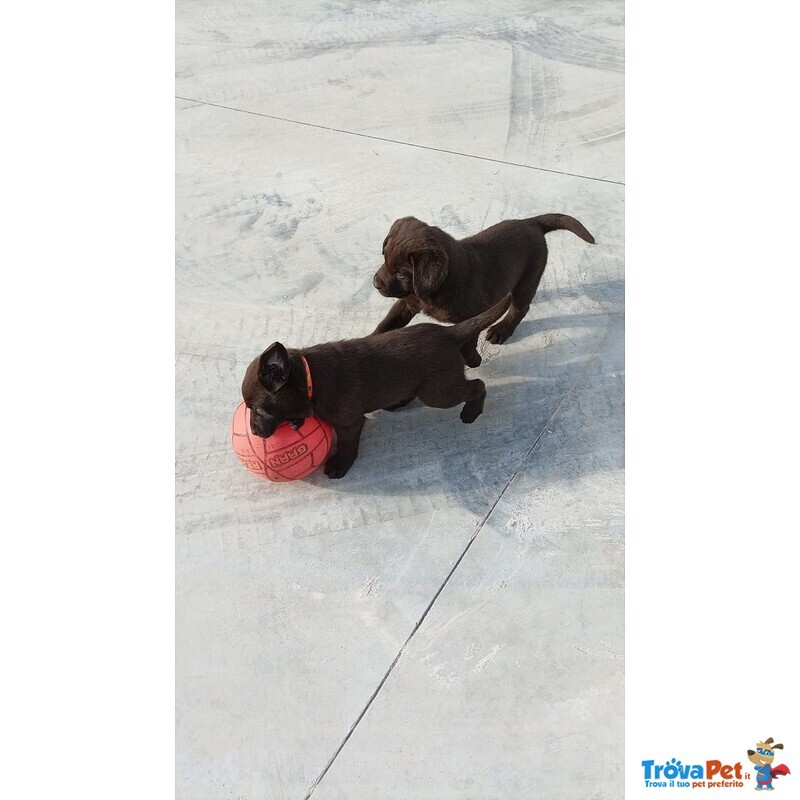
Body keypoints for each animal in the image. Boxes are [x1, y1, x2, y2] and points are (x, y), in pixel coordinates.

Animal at [241, 296, 510, 478]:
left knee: (477, 385)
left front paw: (339, 465)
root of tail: (448, 333)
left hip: (438, 392)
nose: (253, 432)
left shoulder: (350, 423)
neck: (311, 379)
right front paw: (297, 419)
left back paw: (471, 413)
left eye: (259, 410)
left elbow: (347, 444)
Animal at [370, 214, 592, 342]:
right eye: (384, 258)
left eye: (400, 273)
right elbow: (386, 323)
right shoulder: (408, 302)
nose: (375, 283)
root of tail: (531, 223)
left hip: (529, 276)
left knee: (520, 308)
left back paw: (501, 330)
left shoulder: (473, 315)